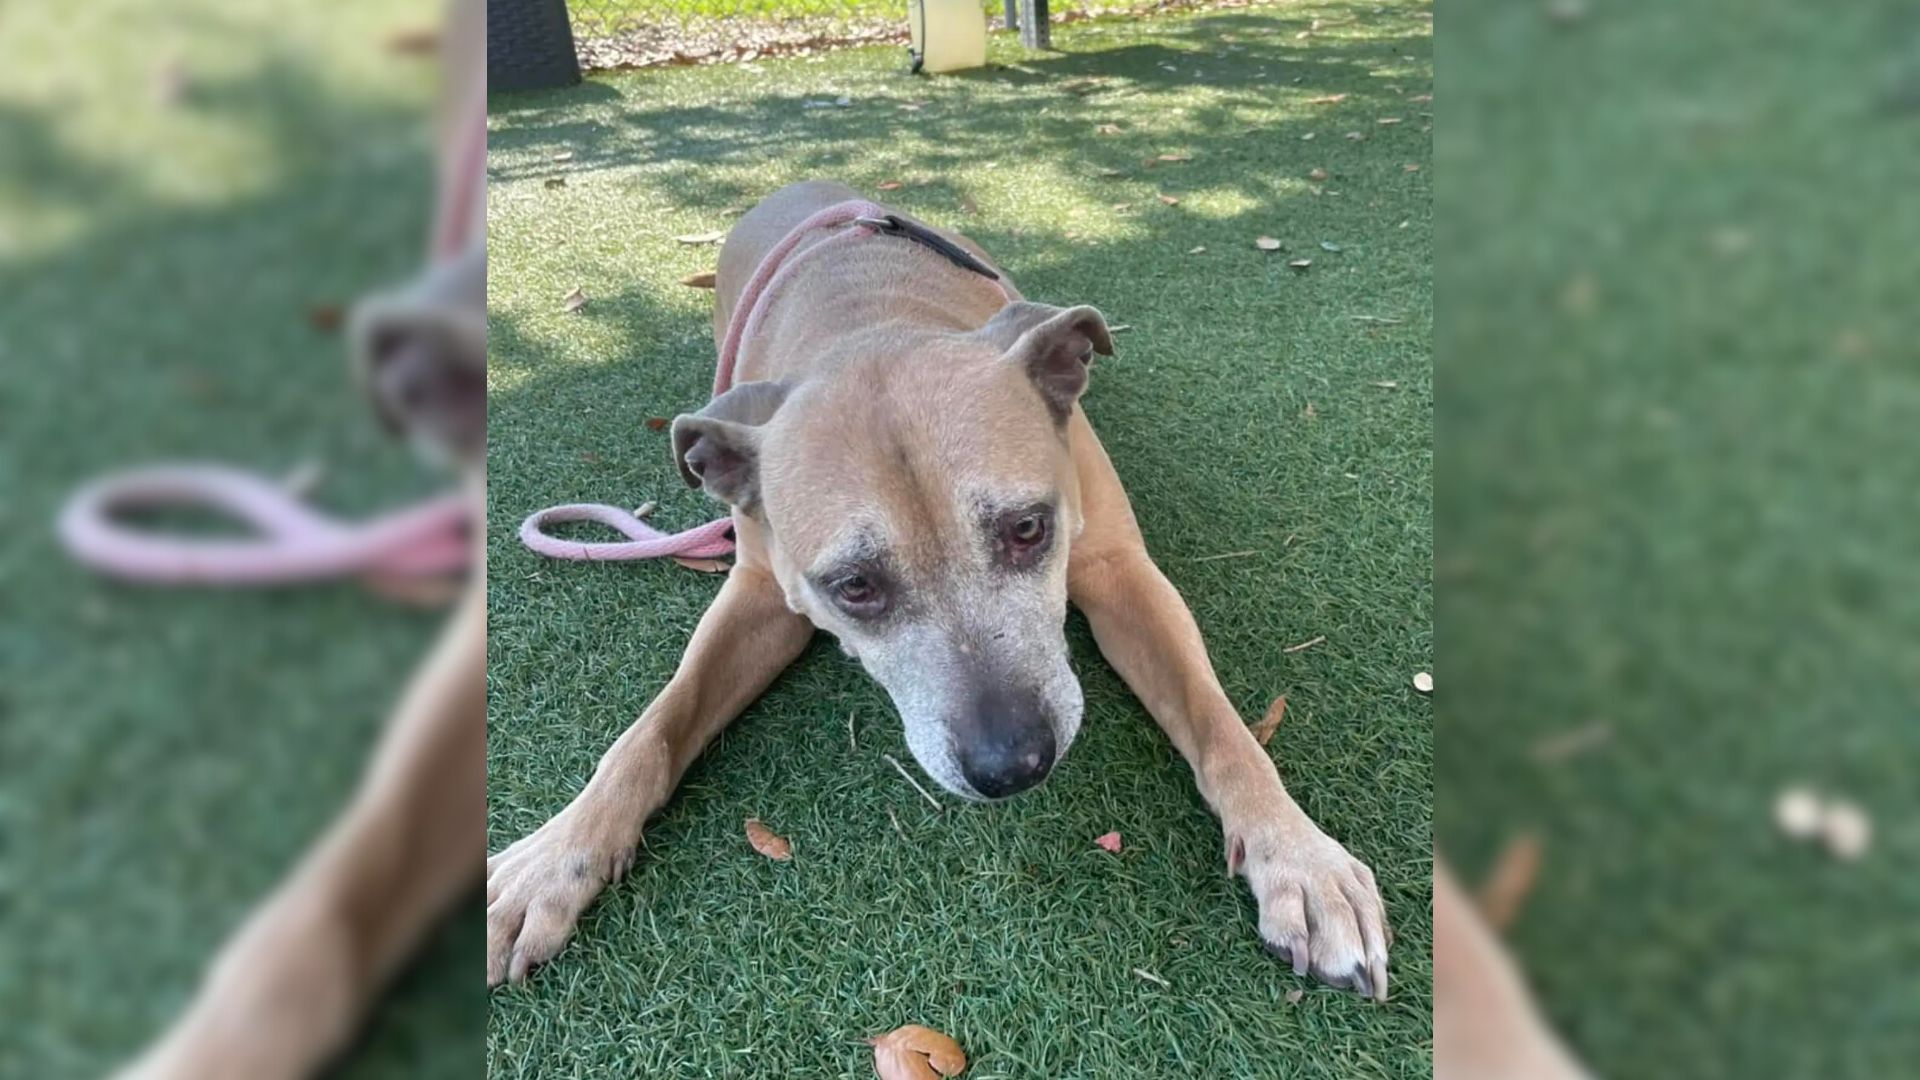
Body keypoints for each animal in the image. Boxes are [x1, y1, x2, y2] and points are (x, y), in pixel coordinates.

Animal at [491, 180, 1397, 999]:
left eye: (1028, 529)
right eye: (854, 586)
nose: (1013, 765)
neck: (865, 320)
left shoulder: (1120, 572)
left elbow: (1221, 724)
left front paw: (1299, 860)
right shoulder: (755, 599)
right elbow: (649, 731)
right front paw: (552, 860)